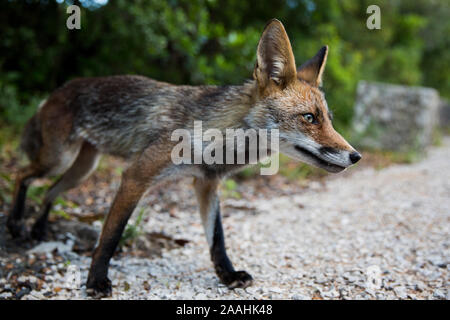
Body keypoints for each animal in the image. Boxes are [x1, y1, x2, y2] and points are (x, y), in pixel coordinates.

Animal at [7, 18, 362, 296]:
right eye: (310, 118)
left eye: (329, 119)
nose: (355, 156)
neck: (218, 138)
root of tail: (57, 90)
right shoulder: (136, 176)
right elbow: (111, 235)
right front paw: (95, 281)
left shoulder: (206, 184)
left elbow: (217, 239)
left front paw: (228, 275)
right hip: (60, 158)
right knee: (22, 175)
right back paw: (15, 222)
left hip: (82, 168)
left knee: (49, 190)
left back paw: (38, 227)